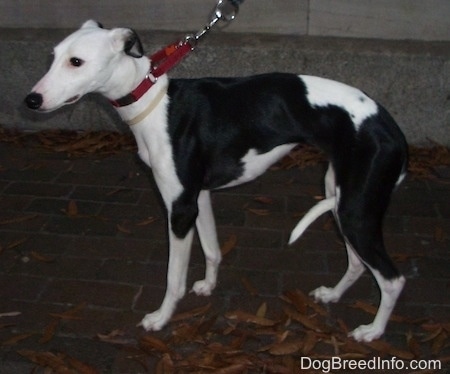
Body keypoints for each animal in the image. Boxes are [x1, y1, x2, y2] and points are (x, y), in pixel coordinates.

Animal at [25, 21, 412, 342]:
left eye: (76, 62)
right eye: (53, 57)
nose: (31, 100)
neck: (155, 103)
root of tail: (391, 129)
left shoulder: (180, 209)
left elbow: (174, 278)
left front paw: (161, 318)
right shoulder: (200, 197)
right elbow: (212, 249)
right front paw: (209, 285)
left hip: (355, 210)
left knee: (393, 279)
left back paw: (373, 331)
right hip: (340, 196)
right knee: (359, 262)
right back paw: (333, 295)